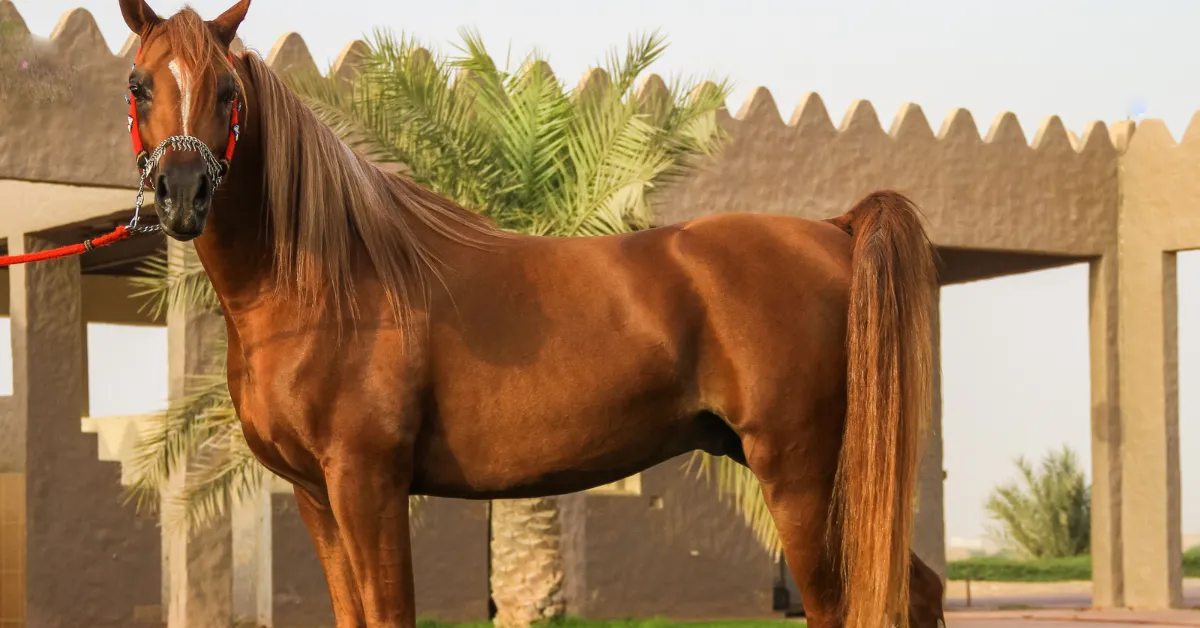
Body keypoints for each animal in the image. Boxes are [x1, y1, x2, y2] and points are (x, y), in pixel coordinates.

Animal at [116, 1, 946, 627]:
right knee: (918, 590)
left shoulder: (367, 482)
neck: (331, 282)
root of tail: (834, 229)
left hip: (803, 474)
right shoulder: (315, 494)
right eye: (139, 84)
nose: (182, 194)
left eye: (228, 91)